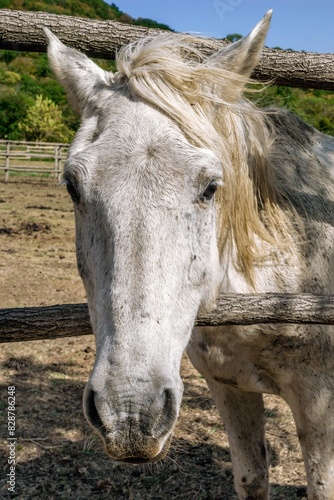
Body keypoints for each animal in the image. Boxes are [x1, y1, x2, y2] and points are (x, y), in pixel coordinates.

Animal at [45, 12, 334, 500]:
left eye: (211, 187)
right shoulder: (230, 388)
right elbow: (251, 478)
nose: (130, 414)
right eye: (72, 186)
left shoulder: (319, 406)